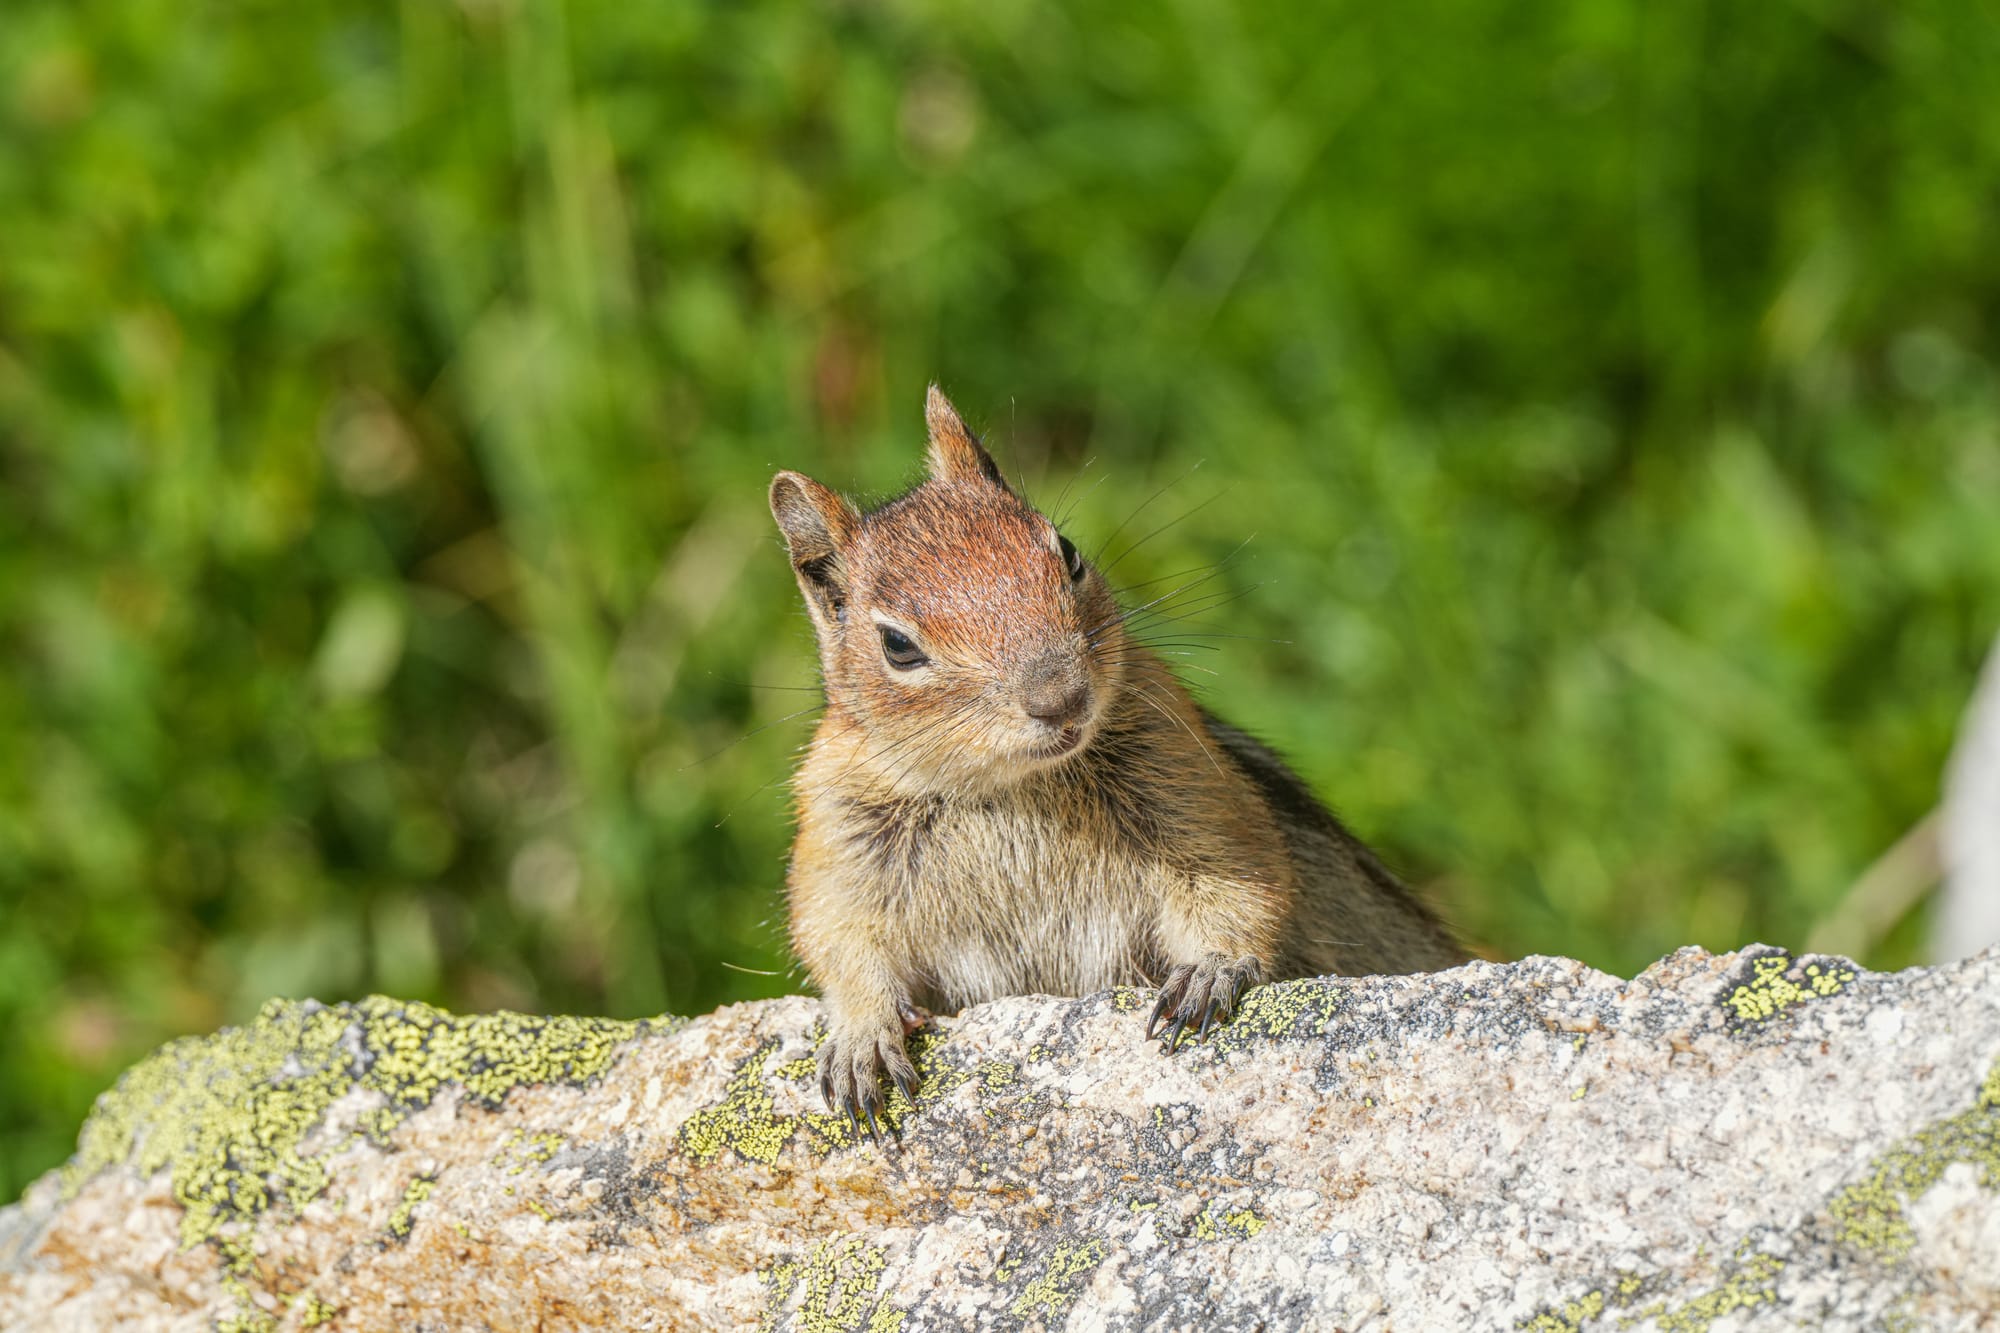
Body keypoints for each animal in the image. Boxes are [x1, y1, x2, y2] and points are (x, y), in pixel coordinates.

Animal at [769, 386, 1467, 1135]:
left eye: (1068, 552)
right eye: (898, 646)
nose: (1060, 697)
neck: (1015, 787)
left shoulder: (1199, 794)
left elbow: (1245, 886)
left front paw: (1210, 970)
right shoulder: (839, 847)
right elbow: (842, 946)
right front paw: (861, 1037)